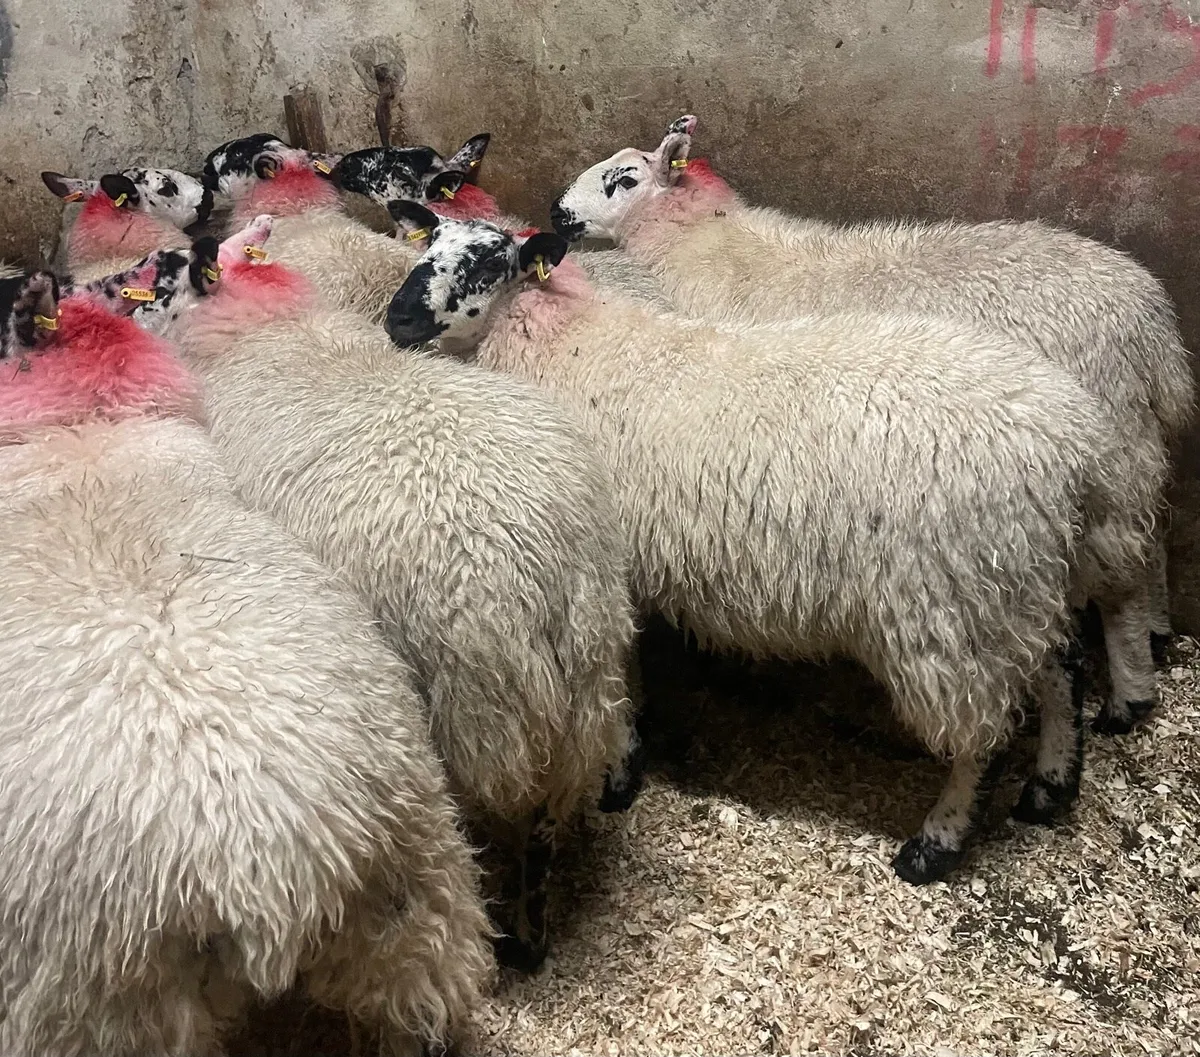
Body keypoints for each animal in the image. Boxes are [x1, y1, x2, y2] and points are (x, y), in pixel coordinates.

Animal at [136, 217, 636, 971]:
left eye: (161, 280)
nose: (400, 318)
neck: (266, 330)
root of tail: (539, 582)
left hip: (481, 715)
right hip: (587, 693)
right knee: (552, 812)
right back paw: (538, 929)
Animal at [384, 206, 1156, 885]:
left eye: (487, 260)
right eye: (426, 243)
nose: (396, 319)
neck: (562, 342)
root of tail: (1073, 445)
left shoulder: (609, 569)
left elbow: (622, 681)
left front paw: (621, 774)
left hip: (948, 603)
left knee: (984, 733)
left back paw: (936, 843)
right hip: (1020, 579)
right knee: (1061, 664)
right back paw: (1051, 787)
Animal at [551, 117, 1195, 731]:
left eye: (622, 180)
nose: (557, 213)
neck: (709, 244)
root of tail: (1151, 323)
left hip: (1113, 450)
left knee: (1122, 583)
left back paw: (1129, 697)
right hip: (1133, 453)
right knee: (1149, 549)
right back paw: (1158, 636)